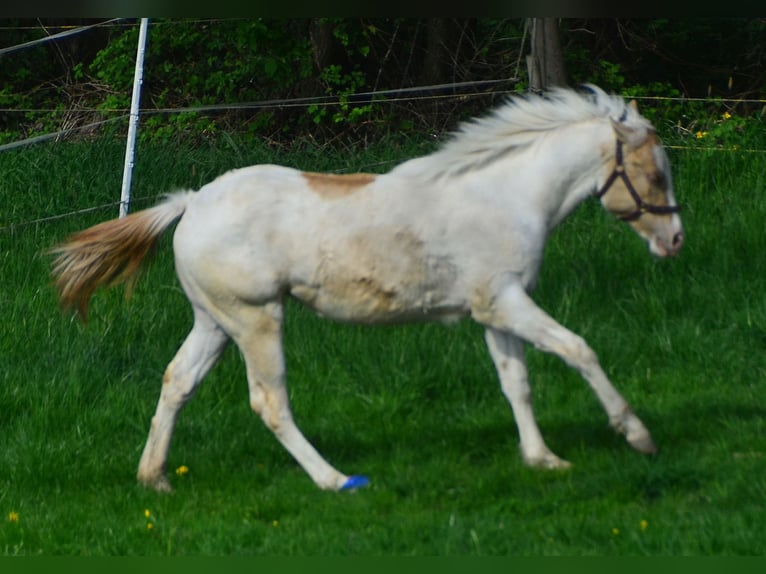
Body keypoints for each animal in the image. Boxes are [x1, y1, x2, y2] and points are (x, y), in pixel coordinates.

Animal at [49, 84, 683, 493]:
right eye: (655, 173)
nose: (675, 239)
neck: (505, 195)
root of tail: (190, 204)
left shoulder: (494, 310)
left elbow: (517, 384)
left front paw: (543, 460)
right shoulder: (506, 302)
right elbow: (578, 349)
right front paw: (638, 436)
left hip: (215, 322)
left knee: (177, 382)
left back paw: (154, 478)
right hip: (257, 319)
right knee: (270, 402)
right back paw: (335, 480)